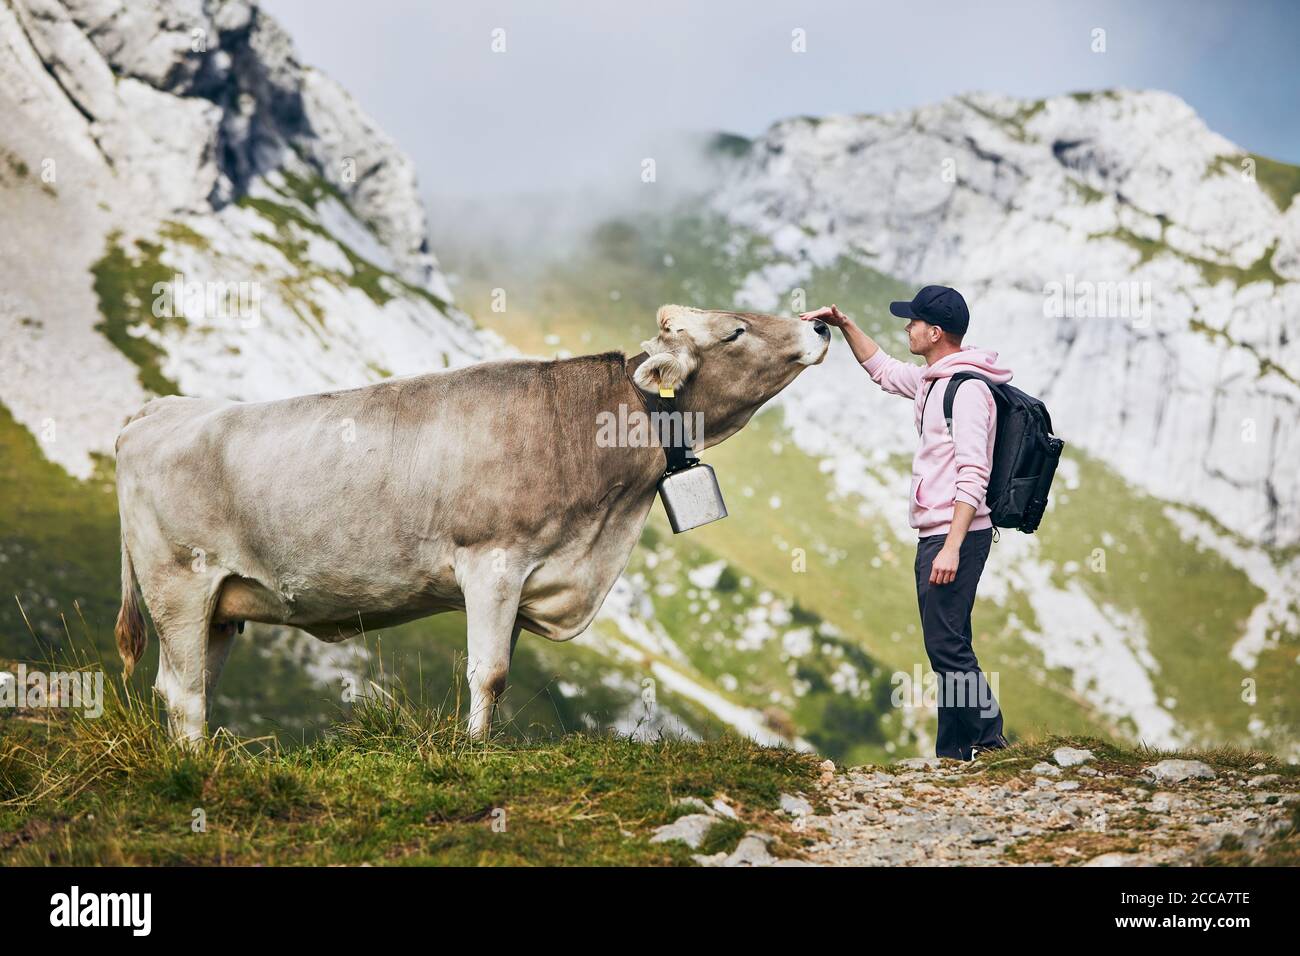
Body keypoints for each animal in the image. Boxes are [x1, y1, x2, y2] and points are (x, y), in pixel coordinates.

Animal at [114, 306, 832, 738]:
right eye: (736, 331)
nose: (819, 327)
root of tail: (158, 410)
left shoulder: (530, 575)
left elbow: (502, 673)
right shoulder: (493, 561)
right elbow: (488, 673)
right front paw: (474, 752)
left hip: (222, 605)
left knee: (190, 685)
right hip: (179, 586)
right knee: (182, 691)